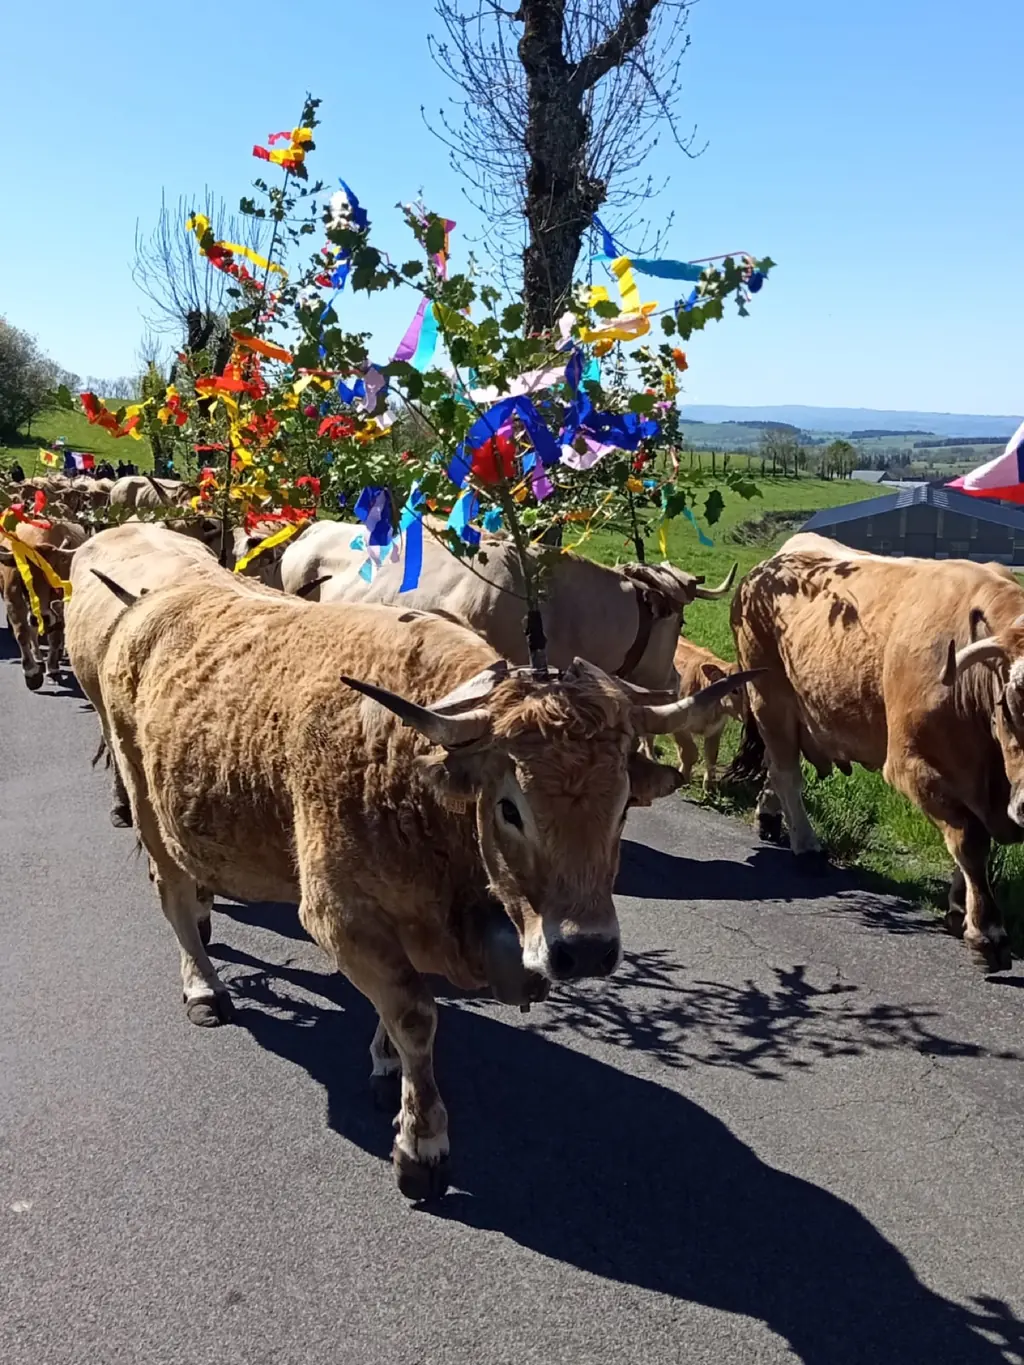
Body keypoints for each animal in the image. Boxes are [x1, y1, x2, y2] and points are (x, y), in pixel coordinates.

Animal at [0, 517, 86, 689]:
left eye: (53, 575)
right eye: (23, 577)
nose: (41, 617)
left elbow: (55, 637)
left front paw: (52, 668)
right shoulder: (12, 599)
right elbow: (22, 633)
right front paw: (31, 673)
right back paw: (38, 658)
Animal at [729, 531, 1023, 971]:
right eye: (1016, 703)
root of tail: (769, 565)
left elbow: (972, 843)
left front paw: (959, 907)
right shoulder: (911, 764)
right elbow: (970, 840)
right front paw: (986, 931)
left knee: (774, 766)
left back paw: (769, 818)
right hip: (768, 695)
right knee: (786, 772)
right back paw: (807, 847)